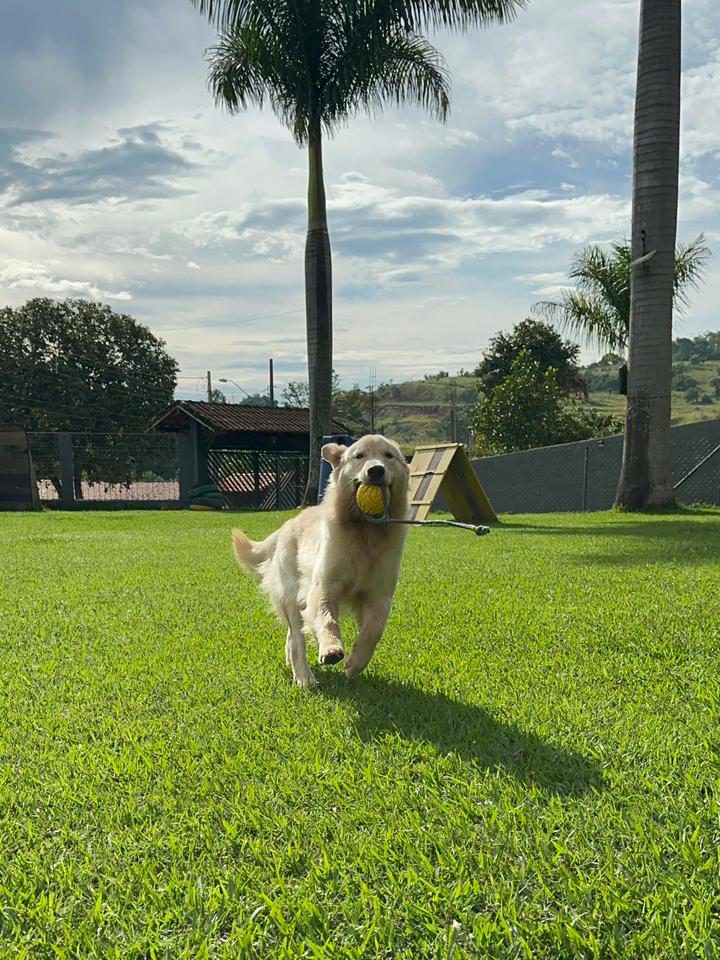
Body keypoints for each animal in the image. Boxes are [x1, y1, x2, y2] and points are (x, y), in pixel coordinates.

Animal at [231, 434, 411, 687]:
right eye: (359, 456)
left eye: (389, 456)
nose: (376, 470)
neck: (364, 533)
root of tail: (287, 524)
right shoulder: (323, 586)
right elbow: (327, 619)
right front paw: (331, 649)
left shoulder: (380, 595)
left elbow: (374, 630)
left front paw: (355, 663)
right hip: (291, 595)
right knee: (296, 638)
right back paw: (304, 677)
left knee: (292, 636)